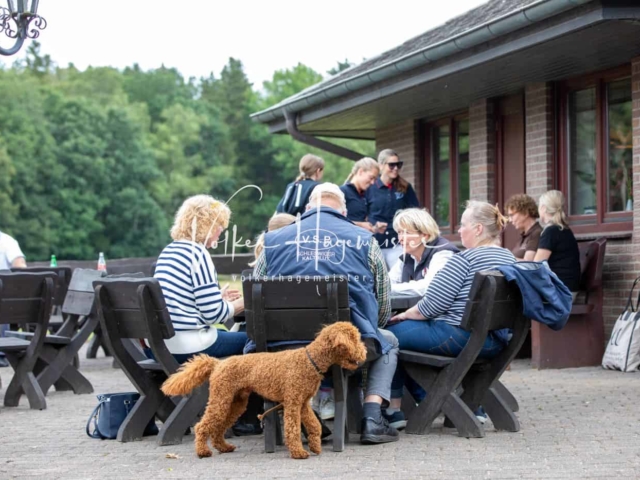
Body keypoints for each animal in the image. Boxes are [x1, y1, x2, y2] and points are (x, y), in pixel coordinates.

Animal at [162, 320, 368, 460]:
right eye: (355, 340)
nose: (364, 353)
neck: (309, 361)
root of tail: (218, 364)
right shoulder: (292, 403)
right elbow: (292, 429)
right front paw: (298, 452)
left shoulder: (303, 403)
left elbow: (314, 425)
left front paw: (315, 447)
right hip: (220, 399)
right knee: (202, 426)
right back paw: (202, 451)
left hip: (235, 402)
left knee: (218, 427)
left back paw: (224, 447)